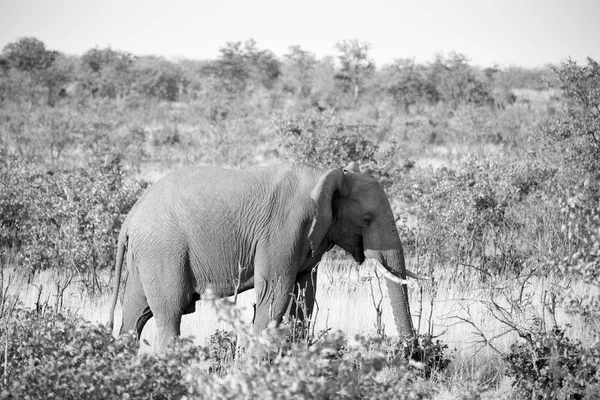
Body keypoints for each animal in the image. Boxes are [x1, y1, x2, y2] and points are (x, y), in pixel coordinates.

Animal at [108, 162, 420, 350]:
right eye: (367, 220)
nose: (411, 353)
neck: (327, 175)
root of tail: (131, 215)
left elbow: (304, 298)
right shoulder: (283, 230)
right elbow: (275, 295)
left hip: (146, 254)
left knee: (135, 315)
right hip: (163, 250)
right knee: (169, 314)